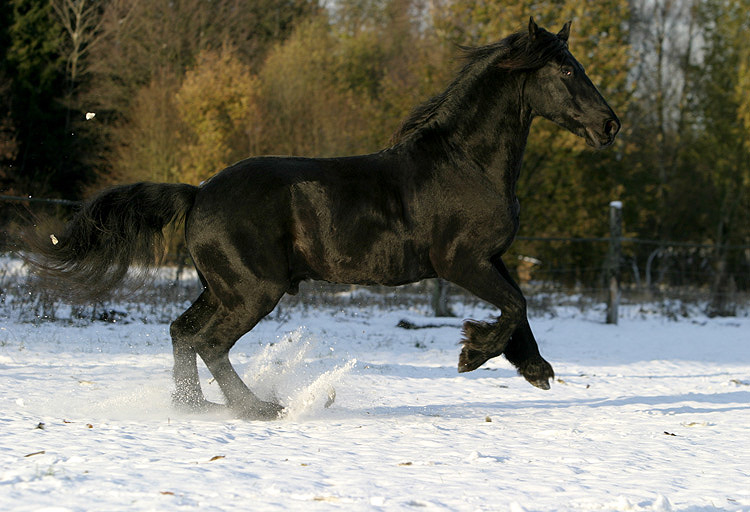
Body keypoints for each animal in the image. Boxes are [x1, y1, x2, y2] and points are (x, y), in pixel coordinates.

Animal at [26, 19, 620, 420]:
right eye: (567, 69)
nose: (610, 125)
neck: (465, 162)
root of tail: (198, 195)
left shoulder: (491, 257)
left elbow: (520, 306)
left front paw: (534, 369)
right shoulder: (461, 262)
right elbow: (515, 305)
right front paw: (472, 354)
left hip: (223, 287)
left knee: (182, 333)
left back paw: (194, 407)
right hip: (252, 291)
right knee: (210, 343)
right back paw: (259, 408)